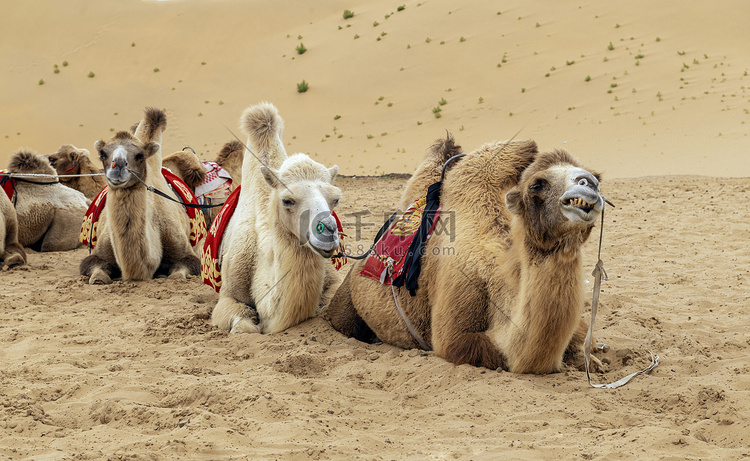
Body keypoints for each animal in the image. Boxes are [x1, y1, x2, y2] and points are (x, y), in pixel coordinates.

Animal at [80, 107, 203, 284]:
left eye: (140, 155)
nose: (118, 166)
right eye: (102, 154)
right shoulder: (96, 255)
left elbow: (178, 275)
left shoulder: (187, 254)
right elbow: (97, 275)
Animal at [209, 102, 344, 332]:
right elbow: (244, 327)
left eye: (335, 199)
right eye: (287, 200)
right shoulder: (228, 296)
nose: (327, 232)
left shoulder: (334, 279)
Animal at [326, 134, 608, 374]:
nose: (588, 182)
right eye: (537, 185)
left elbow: (585, 337)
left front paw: (593, 361)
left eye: (597, 177)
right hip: (345, 306)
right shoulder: (456, 315)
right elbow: (481, 352)